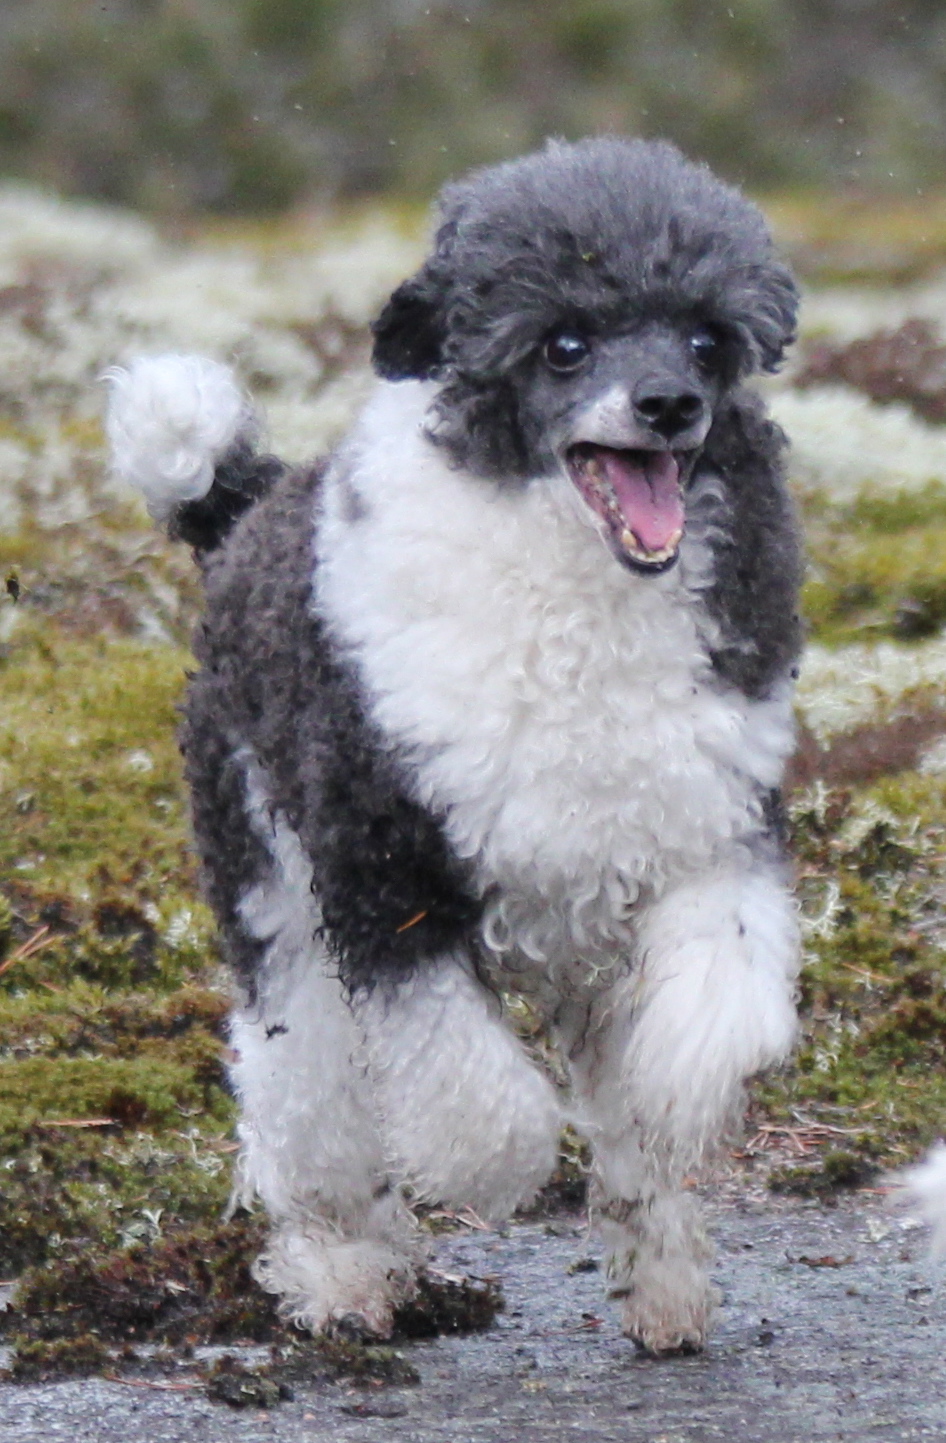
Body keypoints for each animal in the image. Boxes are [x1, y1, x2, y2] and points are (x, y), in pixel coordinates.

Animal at [105, 136, 803, 1355]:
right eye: (564, 341)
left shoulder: (706, 836)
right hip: (272, 888)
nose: (670, 403)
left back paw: (663, 1281)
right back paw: (342, 1270)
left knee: (622, 1148)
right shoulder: (382, 876)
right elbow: (466, 1087)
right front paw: (493, 1169)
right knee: (308, 1100)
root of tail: (244, 512)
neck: (578, 603)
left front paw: (679, 1095)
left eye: (707, 338)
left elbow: (708, 1017)